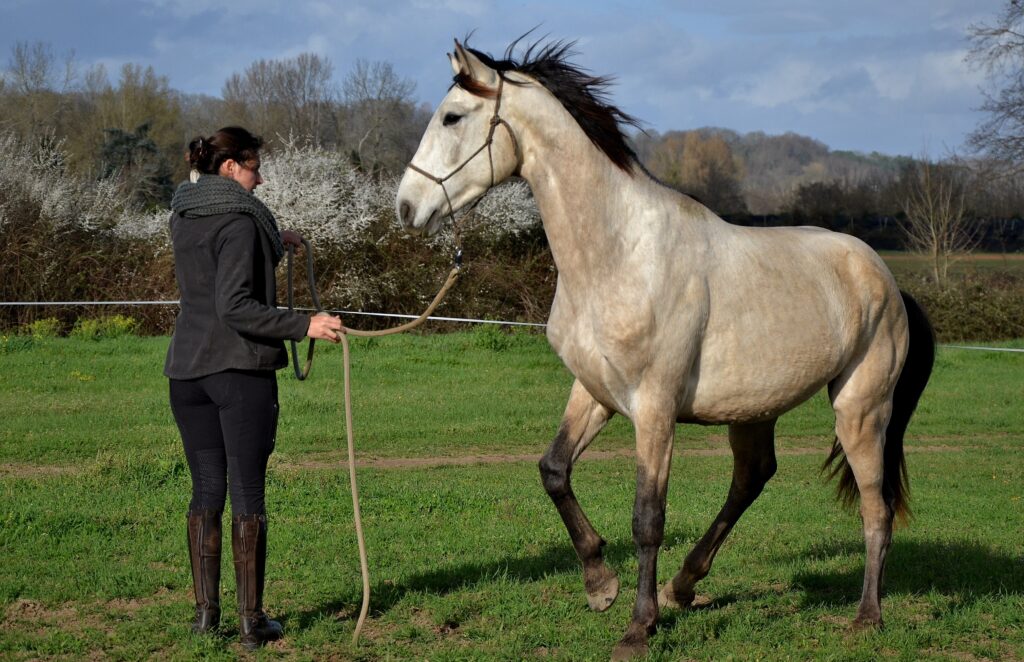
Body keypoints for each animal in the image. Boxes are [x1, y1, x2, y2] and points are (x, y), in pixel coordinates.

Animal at [393, 38, 937, 659]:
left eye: (452, 117)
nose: (406, 208)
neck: (618, 253)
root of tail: (887, 280)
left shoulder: (653, 408)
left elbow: (647, 517)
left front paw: (638, 627)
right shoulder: (595, 392)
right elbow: (553, 470)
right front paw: (601, 585)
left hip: (860, 410)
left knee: (876, 507)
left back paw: (867, 617)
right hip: (755, 409)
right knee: (753, 477)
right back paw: (685, 584)